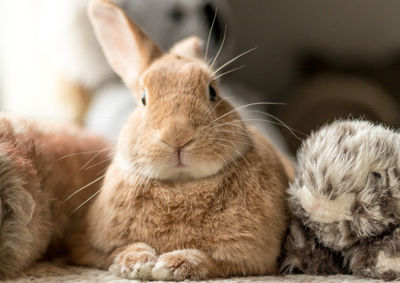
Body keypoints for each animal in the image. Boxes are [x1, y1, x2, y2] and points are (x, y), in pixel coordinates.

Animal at [66, 0, 294, 280]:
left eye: (213, 92)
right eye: (143, 98)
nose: (177, 136)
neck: (180, 185)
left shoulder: (253, 259)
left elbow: (211, 261)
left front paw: (172, 265)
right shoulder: (88, 248)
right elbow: (123, 249)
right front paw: (139, 264)